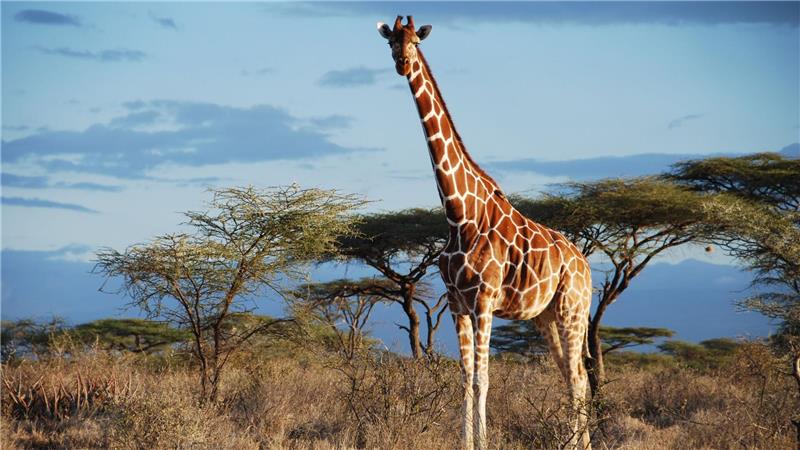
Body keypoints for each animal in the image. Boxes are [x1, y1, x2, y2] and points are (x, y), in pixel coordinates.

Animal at [377, 16, 593, 450]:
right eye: (391, 41)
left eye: (415, 42)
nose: (402, 63)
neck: (459, 215)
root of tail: (589, 269)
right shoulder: (456, 303)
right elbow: (465, 379)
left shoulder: (484, 301)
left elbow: (483, 378)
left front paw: (484, 441)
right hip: (546, 317)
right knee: (571, 375)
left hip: (572, 309)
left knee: (579, 378)